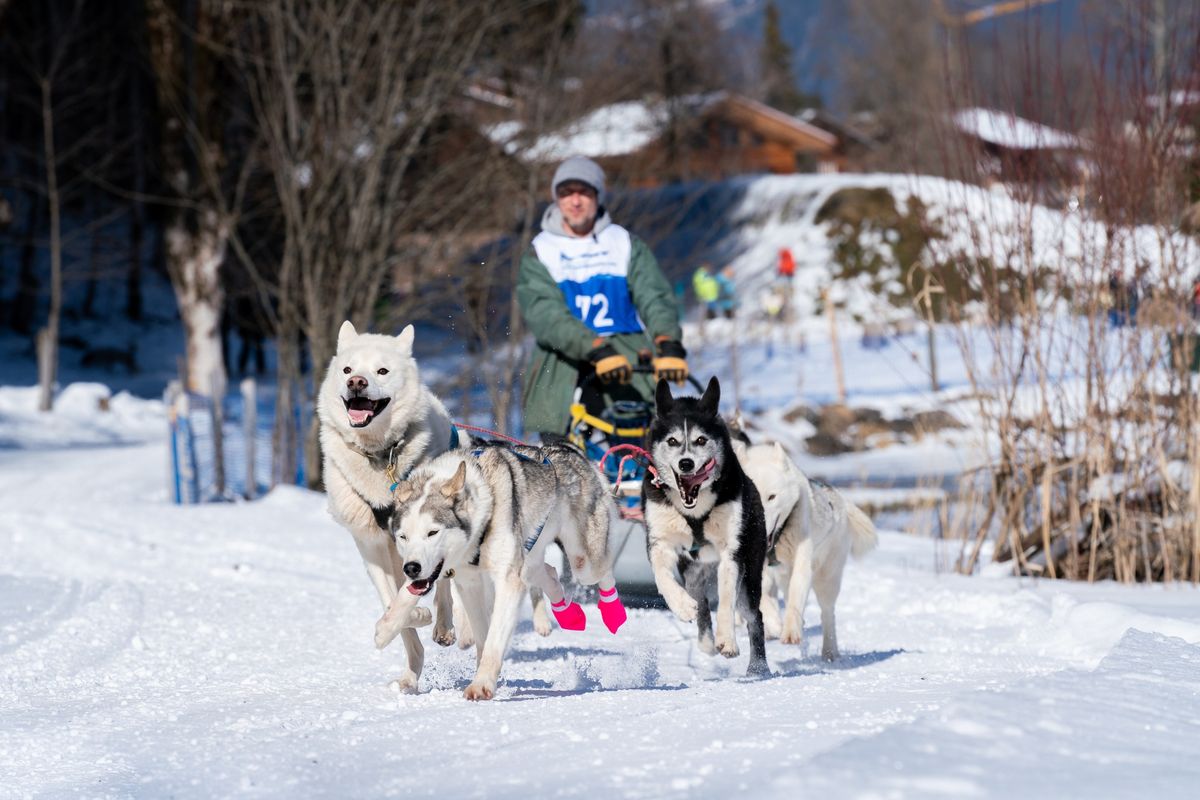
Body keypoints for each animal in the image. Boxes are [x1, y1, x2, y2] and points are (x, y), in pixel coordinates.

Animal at [316, 321, 460, 690]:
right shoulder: (370, 543)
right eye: (347, 370)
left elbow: (419, 589)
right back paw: (410, 671)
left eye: (382, 371)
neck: (381, 455)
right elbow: (392, 599)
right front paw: (404, 621)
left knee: (446, 585)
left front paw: (417, 616)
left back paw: (445, 626)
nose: (356, 382)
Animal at [374, 443, 624, 700]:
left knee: (601, 572)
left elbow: (494, 639)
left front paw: (481, 684)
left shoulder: (507, 581)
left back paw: (613, 612)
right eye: (403, 536)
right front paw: (385, 628)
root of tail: (570, 450)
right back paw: (567, 612)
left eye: (432, 532)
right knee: (548, 572)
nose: (411, 568)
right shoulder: (467, 582)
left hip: (583, 562)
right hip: (529, 557)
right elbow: (408, 596)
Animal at [643, 379, 772, 681]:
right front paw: (681, 605)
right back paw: (705, 640)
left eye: (701, 440)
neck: (694, 511)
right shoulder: (660, 543)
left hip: (750, 572)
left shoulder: (732, 555)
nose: (686, 463)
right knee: (701, 601)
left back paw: (758, 667)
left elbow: (725, 599)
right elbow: (662, 577)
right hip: (693, 572)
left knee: (754, 616)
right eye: (672, 441)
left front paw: (727, 640)